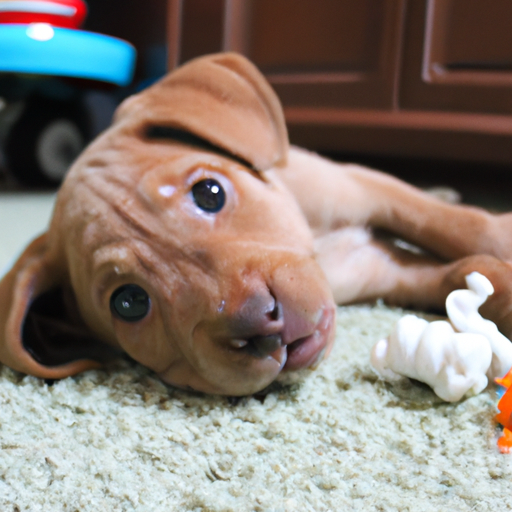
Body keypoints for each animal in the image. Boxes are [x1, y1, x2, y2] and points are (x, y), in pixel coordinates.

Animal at [1, 53, 512, 396]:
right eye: (129, 303)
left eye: (210, 193)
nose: (266, 326)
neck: (319, 245)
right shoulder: (382, 272)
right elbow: (453, 274)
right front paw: (497, 289)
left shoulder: (362, 186)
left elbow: (454, 224)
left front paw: (498, 237)